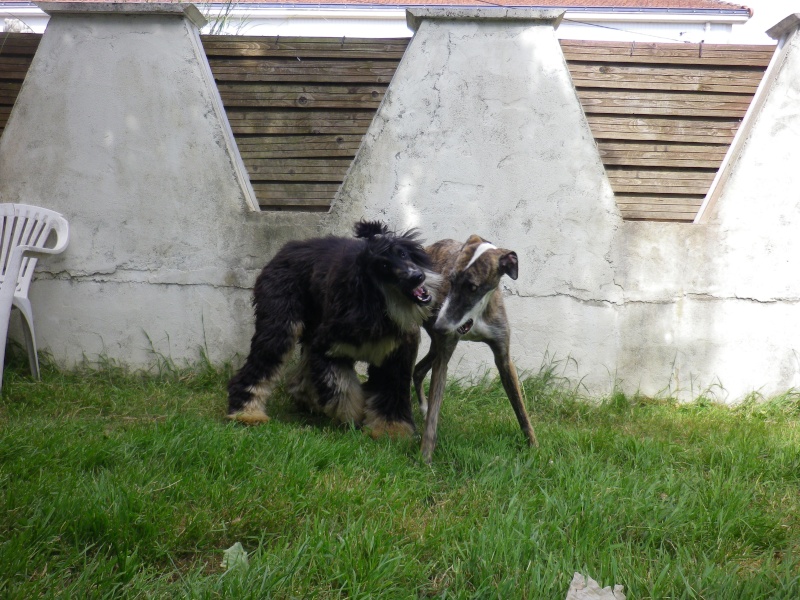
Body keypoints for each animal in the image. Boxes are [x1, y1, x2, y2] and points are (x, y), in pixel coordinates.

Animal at [225, 220, 440, 436]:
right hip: (281, 322)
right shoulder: (329, 348)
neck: (378, 303)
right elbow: (342, 388)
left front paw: (391, 430)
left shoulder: (394, 355)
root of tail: (287, 248)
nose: (417, 277)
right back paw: (247, 412)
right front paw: (354, 421)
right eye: (385, 265)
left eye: (402, 254)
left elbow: (391, 390)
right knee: (264, 361)